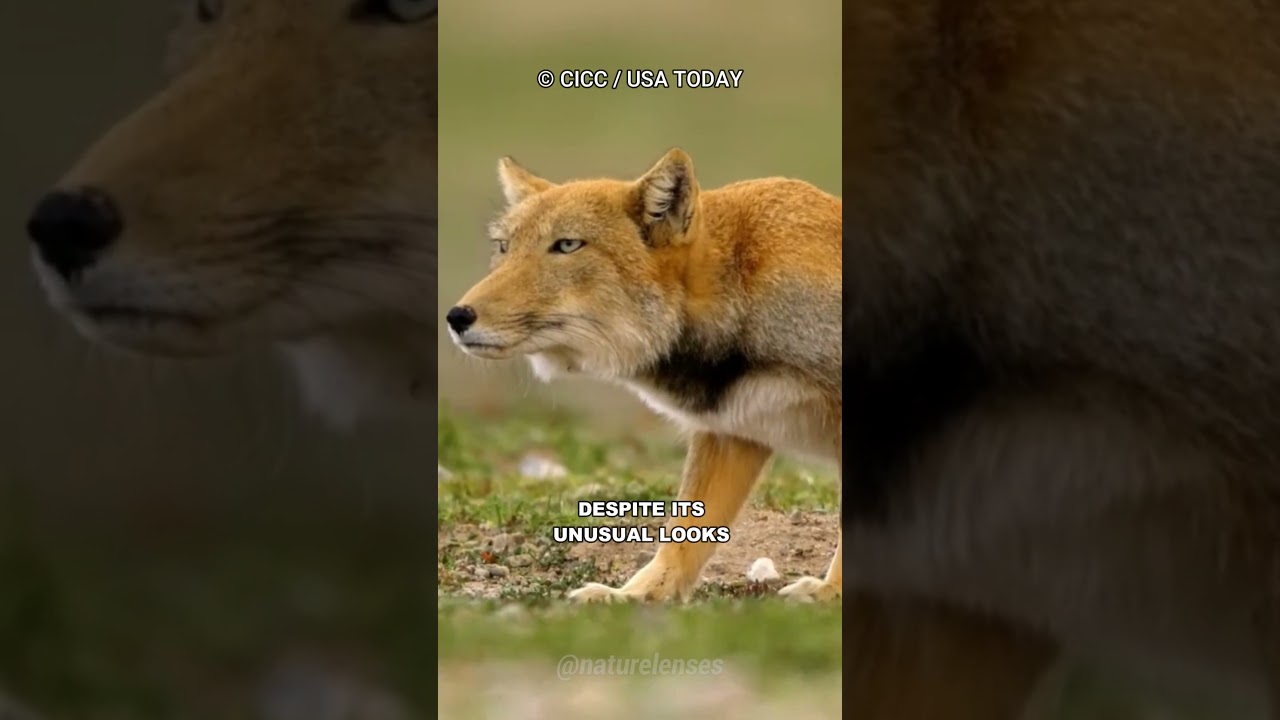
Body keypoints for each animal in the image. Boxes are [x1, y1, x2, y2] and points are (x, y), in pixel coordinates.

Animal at [446, 149, 843, 603]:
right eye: (504, 247)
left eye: (566, 245)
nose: (456, 317)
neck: (743, 284)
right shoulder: (729, 433)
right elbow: (682, 539)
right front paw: (632, 596)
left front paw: (832, 593)